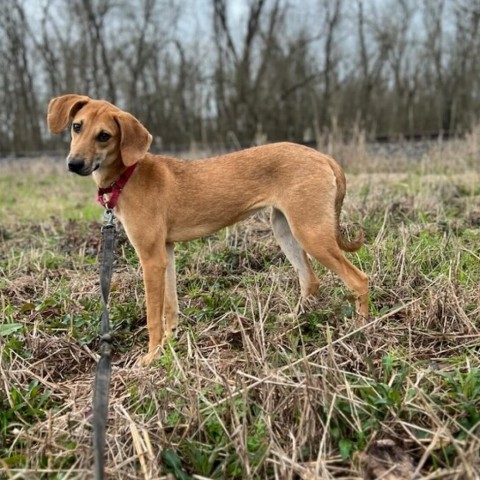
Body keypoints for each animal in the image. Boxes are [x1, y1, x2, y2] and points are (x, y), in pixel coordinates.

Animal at [47, 93, 368, 364]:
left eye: (104, 136)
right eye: (77, 126)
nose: (73, 164)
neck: (129, 174)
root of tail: (323, 157)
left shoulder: (150, 258)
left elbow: (152, 316)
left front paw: (150, 358)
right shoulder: (165, 253)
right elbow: (170, 307)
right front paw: (170, 346)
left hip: (312, 234)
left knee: (358, 280)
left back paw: (361, 330)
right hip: (286, 230)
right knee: (310, 281)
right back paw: (292, 325)